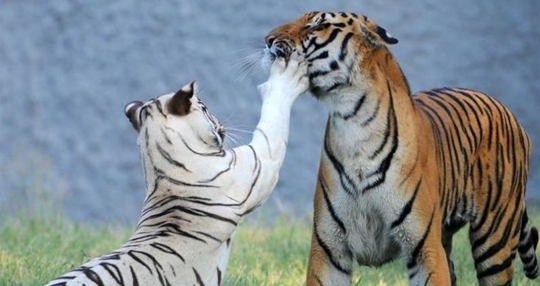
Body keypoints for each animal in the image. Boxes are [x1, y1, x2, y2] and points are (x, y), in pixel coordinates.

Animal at [264, 11, 536, 286]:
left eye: (317, 24)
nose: (268, 39)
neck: (352, 121)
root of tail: (504, 108)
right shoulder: (329, 247)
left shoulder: (424, 246)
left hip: (495, 238)